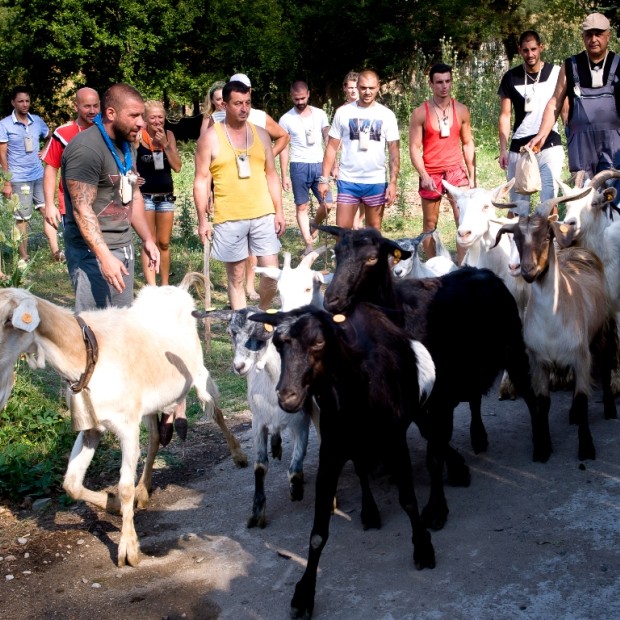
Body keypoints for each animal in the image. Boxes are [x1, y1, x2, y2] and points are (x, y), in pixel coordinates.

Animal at [0, 276, 247, 568]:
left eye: (7, 320)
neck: (89, 354)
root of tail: (178, 288)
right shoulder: (91, 428)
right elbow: (71, 484)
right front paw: (113, 504)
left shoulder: (126, 427)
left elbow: (124, 486)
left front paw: (128, 547)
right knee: (155, 439)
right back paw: (145, 486)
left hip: (199, 375)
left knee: (216, 413)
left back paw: (238, 455)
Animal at [252, 306, 436, 620]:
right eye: (277, 344)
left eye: (318, 342)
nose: (287, 397)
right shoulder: (332, 449)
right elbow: (317, 534)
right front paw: (304, 593)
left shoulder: (395, 440)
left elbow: (409, 500)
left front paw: (423, 547)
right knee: (361, 469)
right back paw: (369, 512)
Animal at [320, 225, 548, 532]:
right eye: (337, 253)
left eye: (372, 259)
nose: (331, 301)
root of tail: (484, 272)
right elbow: (431, 436)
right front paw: (458, 469)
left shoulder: (439, 395)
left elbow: (434, 453)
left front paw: (436, 509)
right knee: (475, 397)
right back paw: (478, 437)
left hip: (511, 346)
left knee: (528, 393)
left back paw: (541, 445)